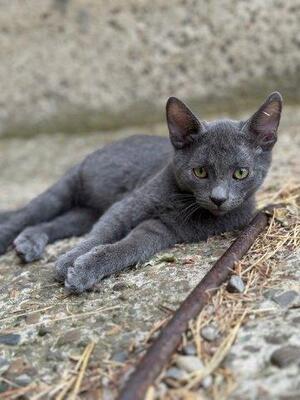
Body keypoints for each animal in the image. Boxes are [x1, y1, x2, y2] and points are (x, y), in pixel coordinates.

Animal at [0, 94, 282, 294]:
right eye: (200, 171)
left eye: (241, 173)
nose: (218, 198)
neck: (181, 202)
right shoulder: (127, 206)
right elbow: (102, 234)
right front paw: (69, 260)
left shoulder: (165, 230)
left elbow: (129, 247)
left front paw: (85, 269)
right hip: (68, 185)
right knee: (29, 213)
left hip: (85, 213)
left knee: (54, 223)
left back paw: (30, 241)